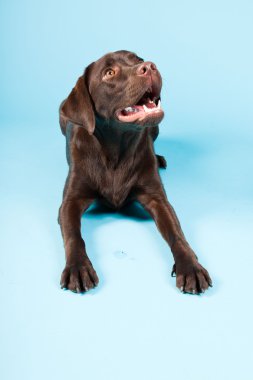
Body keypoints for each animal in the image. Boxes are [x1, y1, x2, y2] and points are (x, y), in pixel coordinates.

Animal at [58, 49, 212, 294]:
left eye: (138, 60)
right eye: (109, 73)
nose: (149, 66)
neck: (116, 148)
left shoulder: (157, 199)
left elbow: (177, 234)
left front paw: (191, 267)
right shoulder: (70, 201)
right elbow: (74, 236)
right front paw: (78, 267)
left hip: (155, 127)